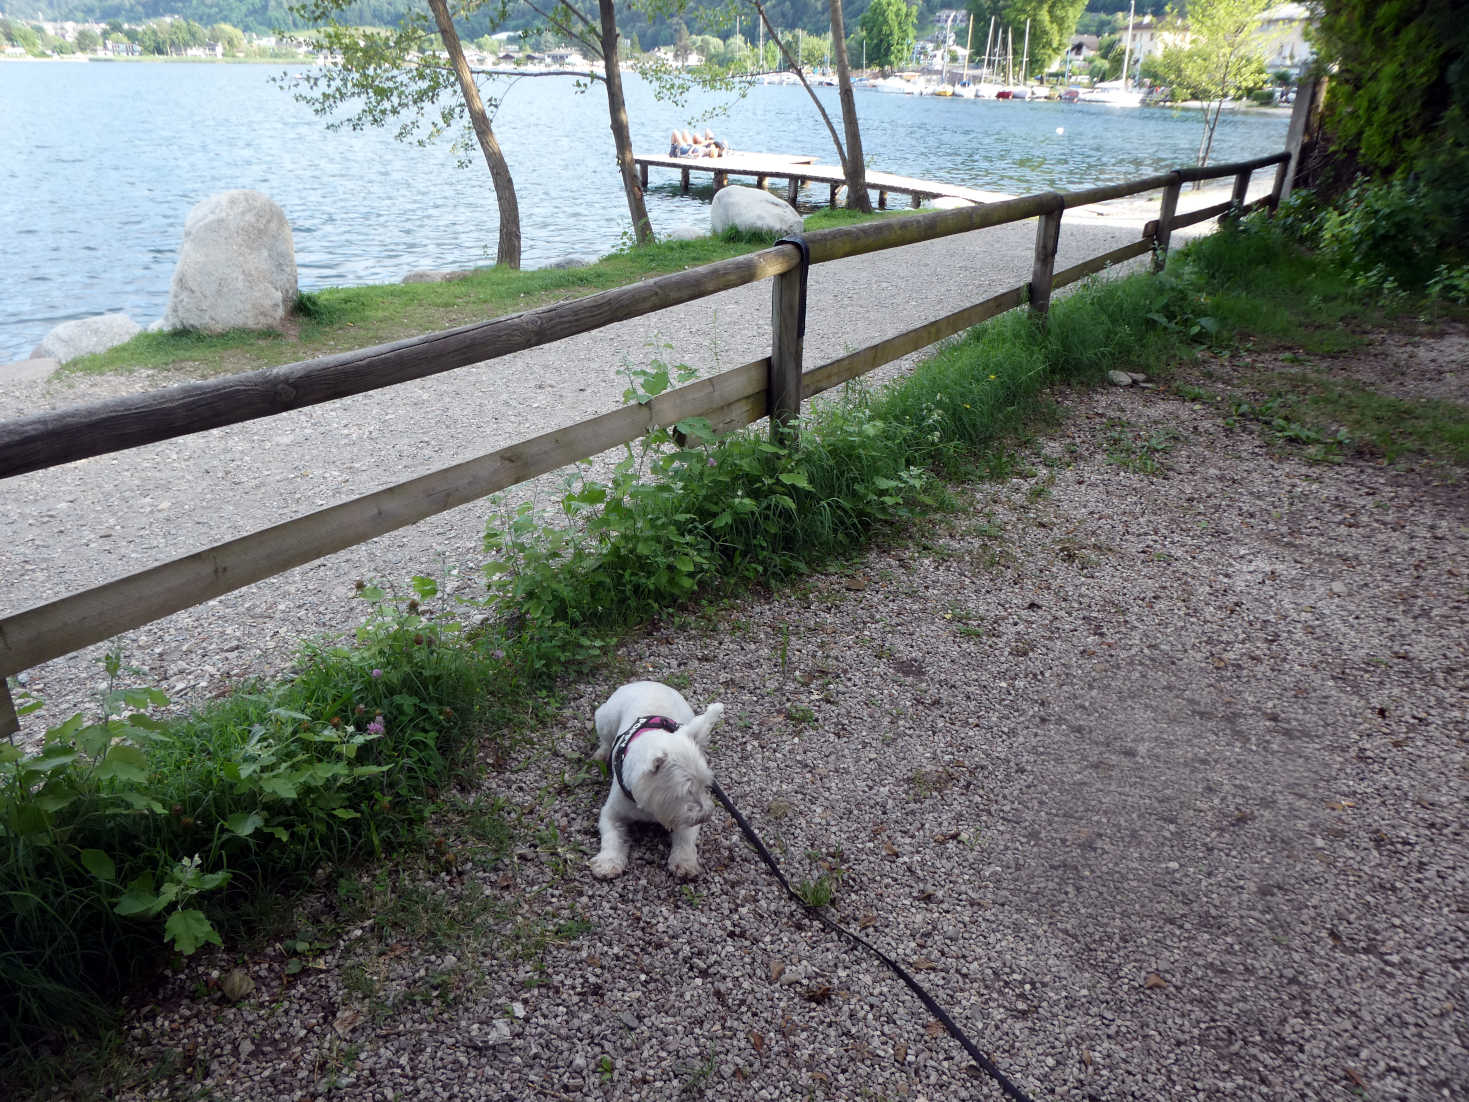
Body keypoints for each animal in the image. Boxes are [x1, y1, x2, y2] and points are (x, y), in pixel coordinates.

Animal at [587, 681, 719, 881]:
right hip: (606, 719)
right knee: (605, 739)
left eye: (705, 785)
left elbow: (686, 837)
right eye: (684, 791)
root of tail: (648, 682)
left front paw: (685, 862)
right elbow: (611, 836)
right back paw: (602, 754)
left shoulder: (683, 818)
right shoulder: (611, 812)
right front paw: (608, 863)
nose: (705, 816)